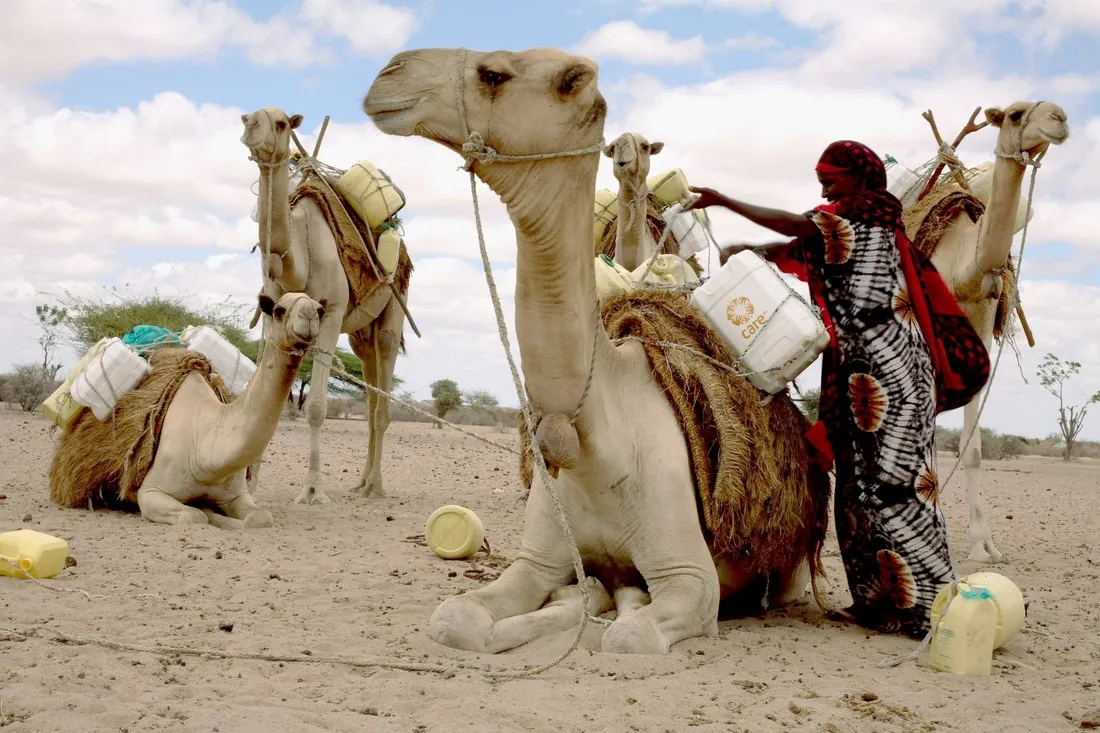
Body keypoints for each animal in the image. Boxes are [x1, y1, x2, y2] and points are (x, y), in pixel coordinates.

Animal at [48, 292, 325, 529]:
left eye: (321, 310)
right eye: (279, 310)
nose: (310, 314)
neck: (205, 448)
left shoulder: (236, 493)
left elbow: (259, 517)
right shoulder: (151, 492)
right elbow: (196, 516)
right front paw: (211, 514)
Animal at [241, 107, 414, 505]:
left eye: (281, 123)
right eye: (249, 117)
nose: (252, 129)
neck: (298, 255)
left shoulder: (330, 313)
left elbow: (317, 407)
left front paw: (313, 491)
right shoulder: (272, 311)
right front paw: (250, 484)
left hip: (393, 306)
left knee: (382, 393)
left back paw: (375, 486)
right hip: (360, 336)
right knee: (370, 394)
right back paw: (361, 482)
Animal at [915, 101, 1069, 563]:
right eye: (1015, 114)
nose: (1059, 118)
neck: (963, 265)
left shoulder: (980, 332)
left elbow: (974, 449)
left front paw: (984, 546)